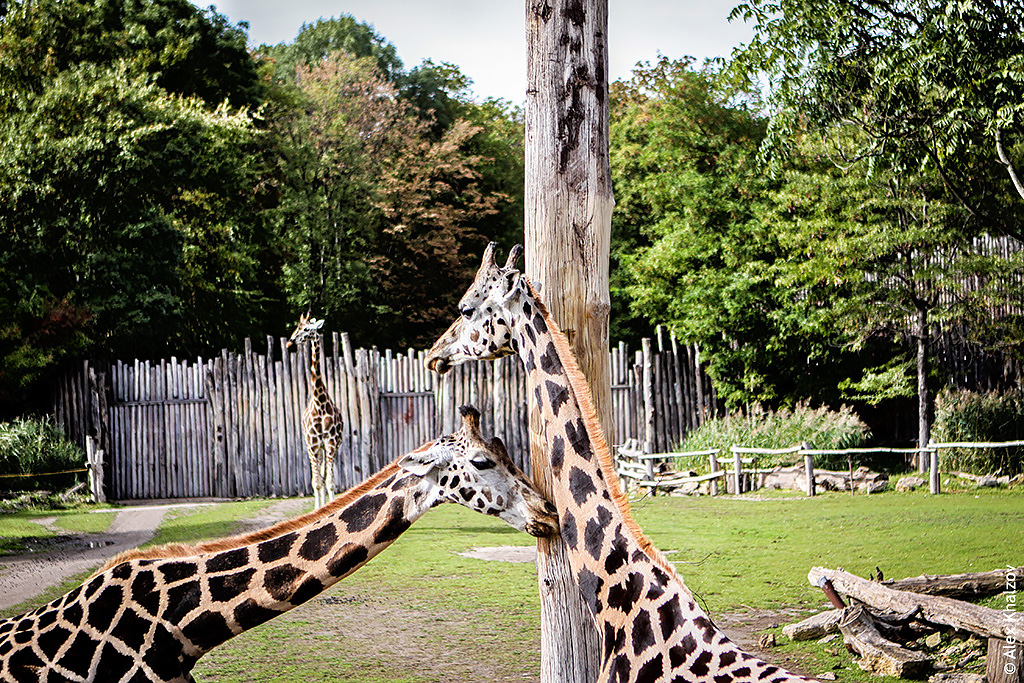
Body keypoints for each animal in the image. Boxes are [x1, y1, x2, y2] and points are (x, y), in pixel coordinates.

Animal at [288, 313, 344, 509]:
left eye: (306, 329)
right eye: (297, 327)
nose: (291, 341)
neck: (320, 403)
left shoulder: (331, 443)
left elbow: (330, 482)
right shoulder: (313, 444)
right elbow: (317, 483)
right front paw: (319, 510)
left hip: (325, 448)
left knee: (324, 476)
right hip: (313, 448)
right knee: (316, 479)